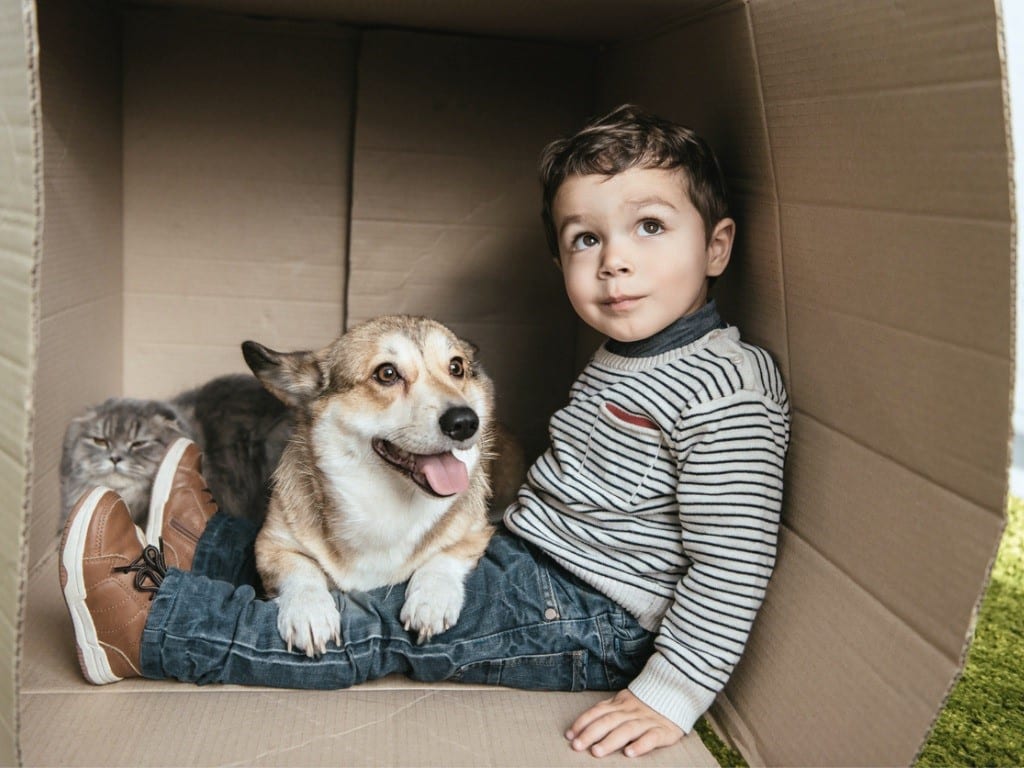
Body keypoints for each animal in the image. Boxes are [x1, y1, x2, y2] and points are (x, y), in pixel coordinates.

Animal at [240, 315, 495, 659]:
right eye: (387, 373)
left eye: (456, 367)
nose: (465, 422)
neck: (387, 501)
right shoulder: (270, 545)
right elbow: (301, 569)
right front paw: (309, 611)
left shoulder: (476, 533)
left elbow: (444, 556)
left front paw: (431, 598)